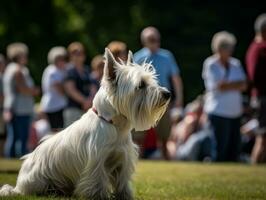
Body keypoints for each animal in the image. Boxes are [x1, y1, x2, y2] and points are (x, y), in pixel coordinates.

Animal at [0, 48, 170, 200]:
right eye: (141, 85)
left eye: (152, 81)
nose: (168, 94)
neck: (115, 126)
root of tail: (18, 186)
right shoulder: (97, 160)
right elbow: (97, 182)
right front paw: (99, 196)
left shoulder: (122, 159)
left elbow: (122, 183)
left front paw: (124, 196)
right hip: (38, 182)